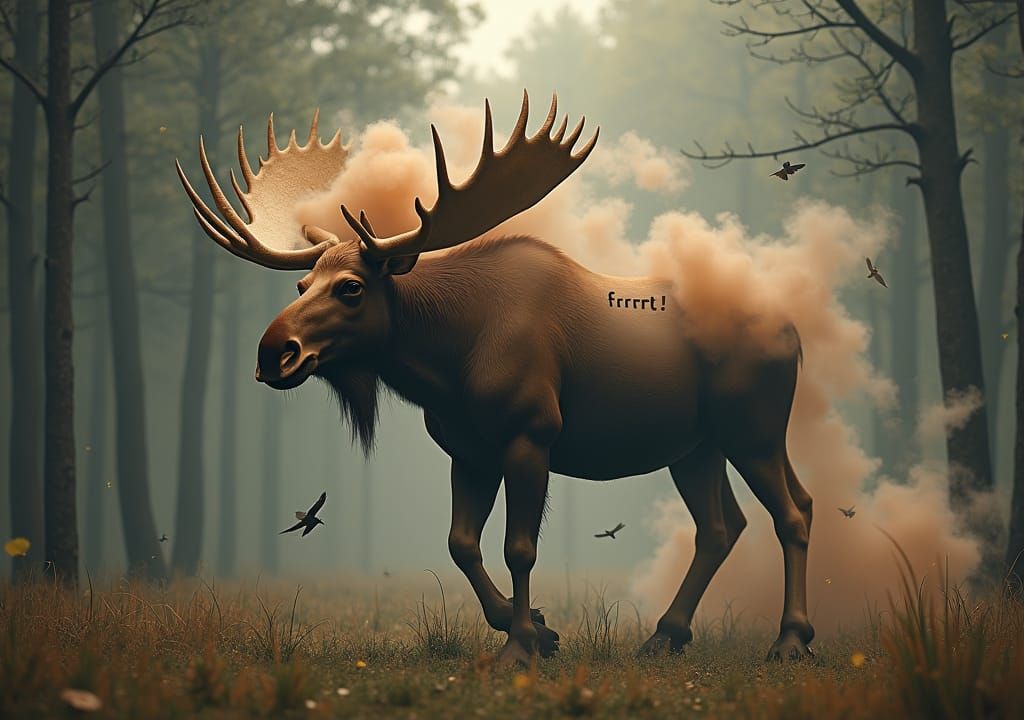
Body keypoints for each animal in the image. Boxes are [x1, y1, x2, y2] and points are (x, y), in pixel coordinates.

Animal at [176, 91, 815, 666]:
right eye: (302, 285)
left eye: (352, 288)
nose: (272, 354)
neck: (447, 361)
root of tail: (794, 333)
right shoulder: (469, 449)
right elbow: (461, 545)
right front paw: (536, 627)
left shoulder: (530, 434)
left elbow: (519, 548)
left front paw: (520, 647)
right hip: (696, 445)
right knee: (727, 524)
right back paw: (667, 635)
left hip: (751, 429)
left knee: (790, 513)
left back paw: (789, 641)